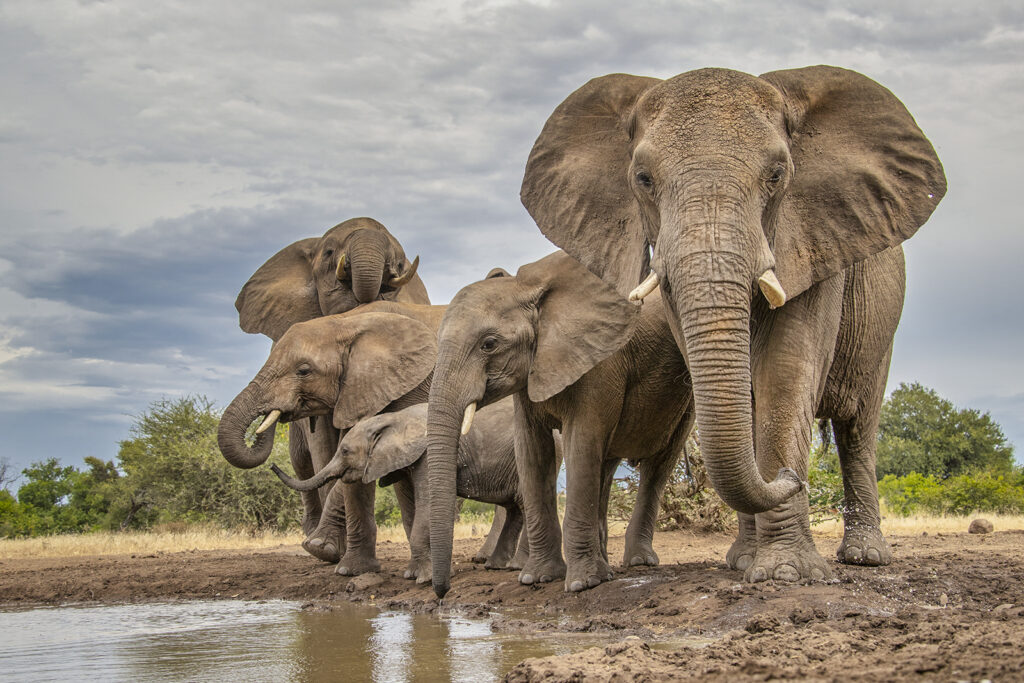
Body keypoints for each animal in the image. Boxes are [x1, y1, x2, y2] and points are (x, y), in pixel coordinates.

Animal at [226, 219, 430, 557]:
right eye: (329, 254)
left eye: (400, 263)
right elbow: (322, 445)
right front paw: (323, 549)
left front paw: (326, 548)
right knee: (301, 462)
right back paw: (310, 535)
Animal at [276, 397, 528, 585]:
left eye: (345, 451)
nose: (272, 466)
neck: (394, 419)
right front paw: (413, 575)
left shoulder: (427, 454)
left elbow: (428, 504)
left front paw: (424, 580)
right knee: (515, 509)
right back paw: (495, 566)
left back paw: (517, 567)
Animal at [520, 65, 942, 581]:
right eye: (643, 179)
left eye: (778, 175)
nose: (790, 478)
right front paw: (756, 562)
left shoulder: (815, 235)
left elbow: (786, 369)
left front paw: (786, 574)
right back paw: (744, 556)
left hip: (881, 328)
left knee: (858, 428)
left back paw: (865, 557)